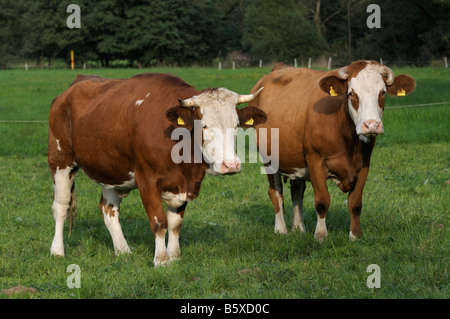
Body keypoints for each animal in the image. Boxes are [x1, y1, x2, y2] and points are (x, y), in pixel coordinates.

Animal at [49, 74, 268, 266]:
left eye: (237, 125)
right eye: (204, 125)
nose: (230, 165)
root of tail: (77, 82)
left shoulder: (182, 185)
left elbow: (175, 224)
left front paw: (175, 257)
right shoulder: (147, 181)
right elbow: (159, 222)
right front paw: (161, 260)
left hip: (110, 169)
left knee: (109, 210)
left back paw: (123, 250)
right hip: (60, 160)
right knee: (61, 206)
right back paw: (57, 250)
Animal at [251, 59, 416, 240]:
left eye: (382, 93)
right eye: (351, 93)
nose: (371, 125)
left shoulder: (364, 164)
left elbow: (355, 203)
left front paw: (355, 235)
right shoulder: (315, 161)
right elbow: (322, 201)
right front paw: (321, 235)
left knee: (297, 191)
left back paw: (298, 228)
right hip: (269, 159)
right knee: (276, 193)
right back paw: (281, 229)